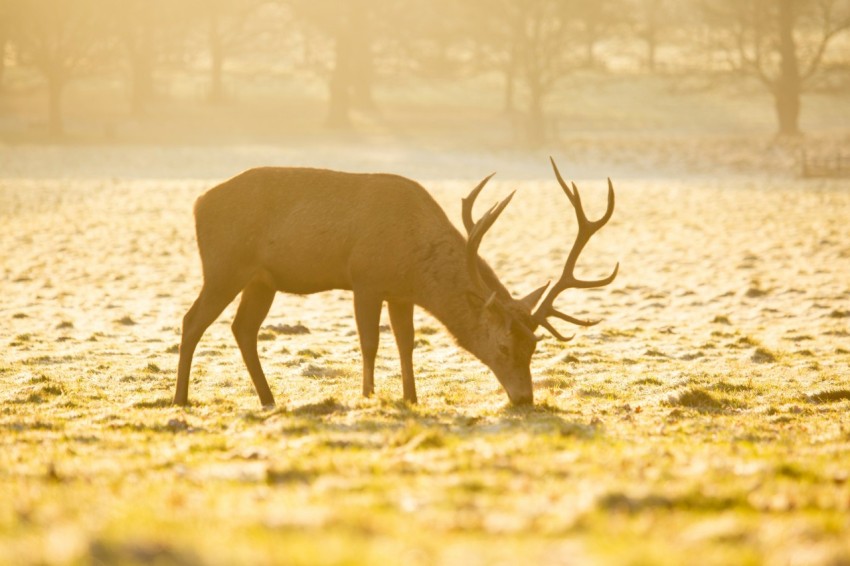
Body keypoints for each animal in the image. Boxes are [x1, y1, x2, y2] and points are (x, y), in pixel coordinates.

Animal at [173, 158, 618, 408]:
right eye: (505, 346)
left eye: (535, 346)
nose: (525, 399)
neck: (414, 265)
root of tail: (197, 204)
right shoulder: (364, 278)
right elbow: (370, 341)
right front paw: (369, 395)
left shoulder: (401, 295)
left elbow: (406, 342)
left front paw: (411, 397)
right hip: (224, 266)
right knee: (192, 320)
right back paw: (180, 399)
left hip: (262, 280)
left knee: (242, 328)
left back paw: (268, 400)